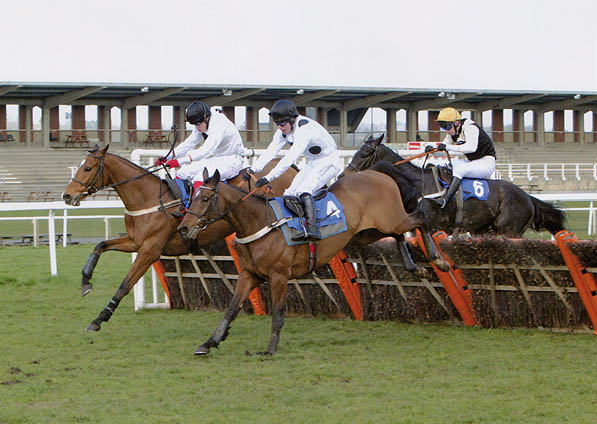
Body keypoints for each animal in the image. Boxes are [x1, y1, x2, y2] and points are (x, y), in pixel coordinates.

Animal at [61, 144, 296, 332]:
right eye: (79, 166)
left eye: (88, 168)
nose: (67, 195)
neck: (149, 198)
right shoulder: (135, 242)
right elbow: (100, 246)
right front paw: (85, 283)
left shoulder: (150, 250)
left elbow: (125, 284)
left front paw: (100, 318)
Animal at [177, 164, 448, 356]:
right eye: (192, 197)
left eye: (204, 199)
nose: (183, 228)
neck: (260, 222)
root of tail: (378, 173)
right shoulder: (249, 275)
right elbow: (231, 309)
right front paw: (209, 342)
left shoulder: (279, 276)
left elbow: (278, 312)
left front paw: (270, 348)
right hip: (369, 232)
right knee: (400, 234)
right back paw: (416, 267)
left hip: (390, 220)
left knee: (421, 218)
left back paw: (438, 260)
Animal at [338, 134, 564, 237]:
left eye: (365, 153)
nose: (342, 175)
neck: (419, 185)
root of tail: (528, 197)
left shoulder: (437, 227)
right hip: (484, 230)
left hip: (509, 230)